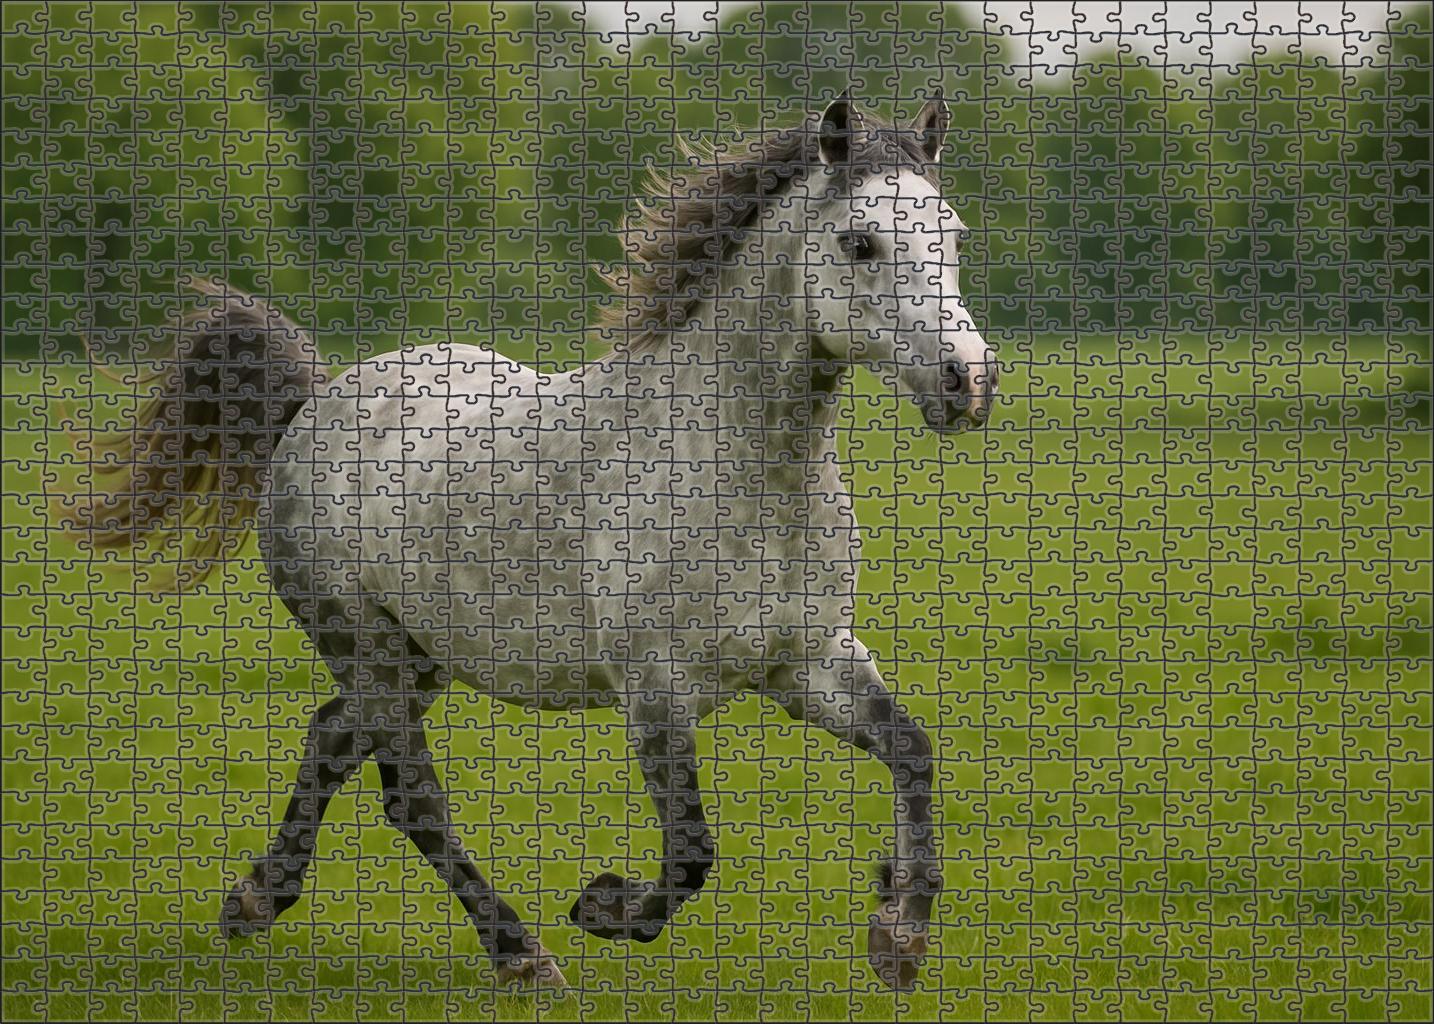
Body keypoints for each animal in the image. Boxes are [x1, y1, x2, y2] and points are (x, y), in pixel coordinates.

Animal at [68, 94, 998, 992]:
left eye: (951, 234)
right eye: (860, 240)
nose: (969, 381)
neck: (736, 470)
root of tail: (312, 404)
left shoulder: (810, 663)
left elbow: (913, 754)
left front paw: (899, 935)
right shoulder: (655, 689)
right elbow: (691, 853)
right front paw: (603, 904)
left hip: (417, 656)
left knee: (333, 738)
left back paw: (257, 900)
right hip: (367, 646)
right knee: (412, 798)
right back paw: (518, 952)